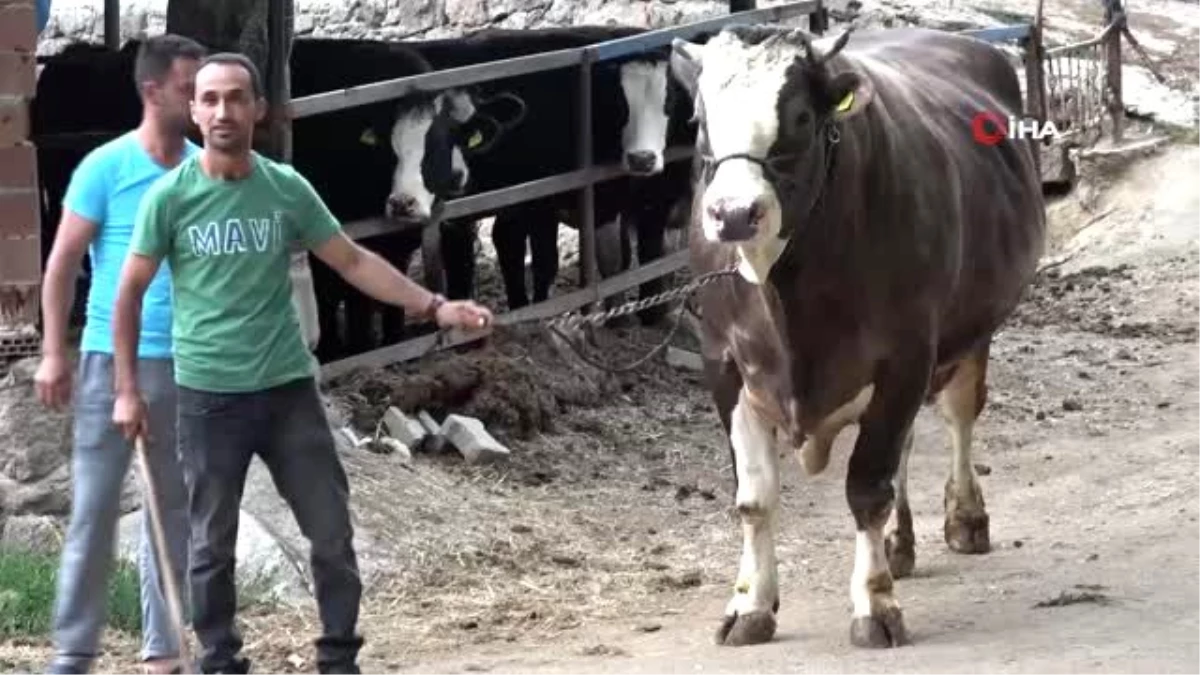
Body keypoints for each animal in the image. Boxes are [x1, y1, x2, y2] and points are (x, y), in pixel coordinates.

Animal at [672, 24, 1046, 648]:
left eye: (800, 115)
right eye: (701, 119)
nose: (733, 214)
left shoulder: (905, 356)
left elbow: (867, 488)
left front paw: (874, 606)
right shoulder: (724, 364)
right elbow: (753, 499)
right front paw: (749, 604)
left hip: (968, 336)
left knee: (957, 418)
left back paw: (965, 518)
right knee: (908, 447)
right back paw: (899, 545)